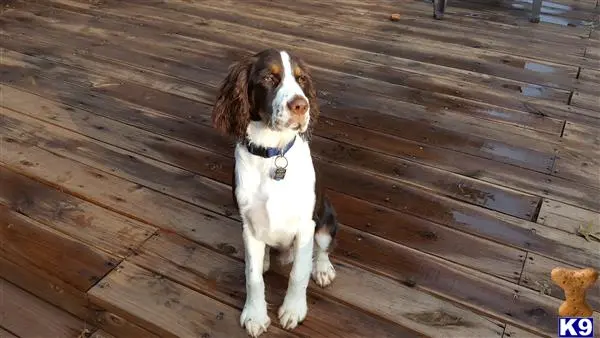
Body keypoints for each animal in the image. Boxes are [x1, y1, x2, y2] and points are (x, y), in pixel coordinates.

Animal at [212, 48, 338, 336]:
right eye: (269, 78)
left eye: (301, 79)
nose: (301, 106)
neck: (273, 154)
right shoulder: (249, 224)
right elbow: (253, 276)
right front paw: (255, 315)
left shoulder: (306, 224)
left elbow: (299, 272)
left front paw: (293, 310)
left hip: (326, 217)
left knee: (322, 248)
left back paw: (323, 269)